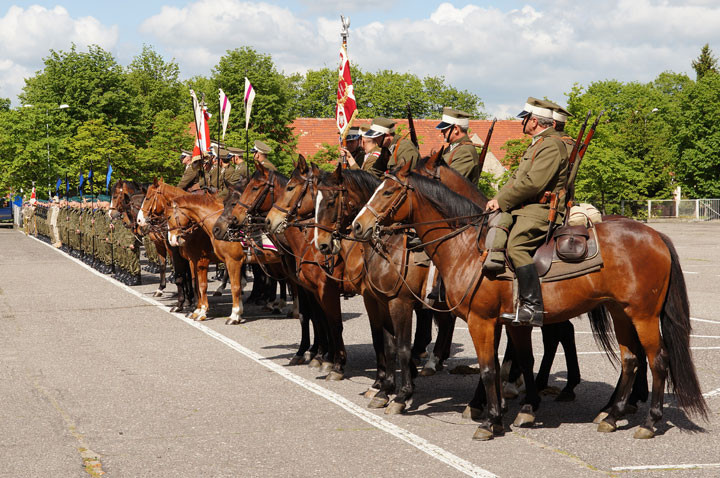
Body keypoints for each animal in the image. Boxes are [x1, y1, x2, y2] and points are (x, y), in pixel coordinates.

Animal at [139, 179, 219, 322]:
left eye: (147, 198)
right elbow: (186, 278)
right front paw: (186, 304)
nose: (139, 220)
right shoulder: (183, 256)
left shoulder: (187, 256)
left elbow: (187, 279)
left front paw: (189, 305)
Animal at [354, 160, 708, 440]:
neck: (468, 246)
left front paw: (490, 421)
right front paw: (502, 412)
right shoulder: (502, 322)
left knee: (658, 360)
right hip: (620, 312)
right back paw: (612, 414)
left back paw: (648, 422)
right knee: (631, 360)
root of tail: (656, 235)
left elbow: (488, 368)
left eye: (387, 192)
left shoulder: (480, 321)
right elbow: (508, 363)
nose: (359, 225)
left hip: (643, 315)